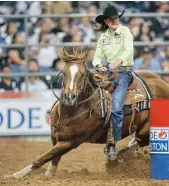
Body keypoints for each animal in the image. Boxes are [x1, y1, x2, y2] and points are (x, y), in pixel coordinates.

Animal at [6, 48, 169, 178]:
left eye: (83, 74)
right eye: (64, 73)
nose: (69, 97)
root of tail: (163, 84)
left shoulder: (71, 141)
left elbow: (41, 158)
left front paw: (16, 175)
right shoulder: (55, 136)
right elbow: (53, 158)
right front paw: (46, 175)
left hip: (145, 130)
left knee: (138, 143)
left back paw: (118, 156)